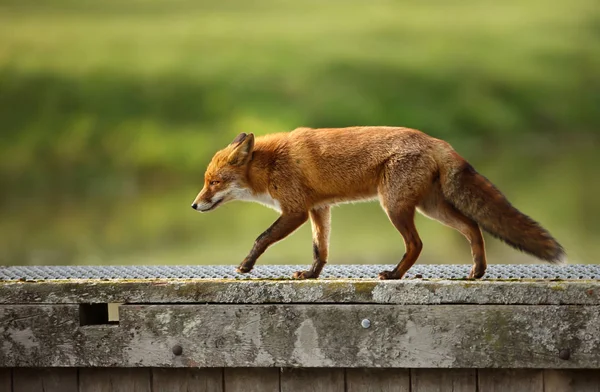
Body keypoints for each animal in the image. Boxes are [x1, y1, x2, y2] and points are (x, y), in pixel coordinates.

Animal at [191, 126, 564, 278]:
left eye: (213, 182)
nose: (194, 206)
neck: (271, 163)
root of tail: (438, 141)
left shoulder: (295, 210)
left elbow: (262, 238)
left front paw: (245, 265)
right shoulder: (318, 209)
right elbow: (320, 250)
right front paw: (311, 275)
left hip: (395, 207)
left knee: (417, 244)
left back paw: (395, 275)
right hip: (431, 207)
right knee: (473, 227)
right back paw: (477, 271)